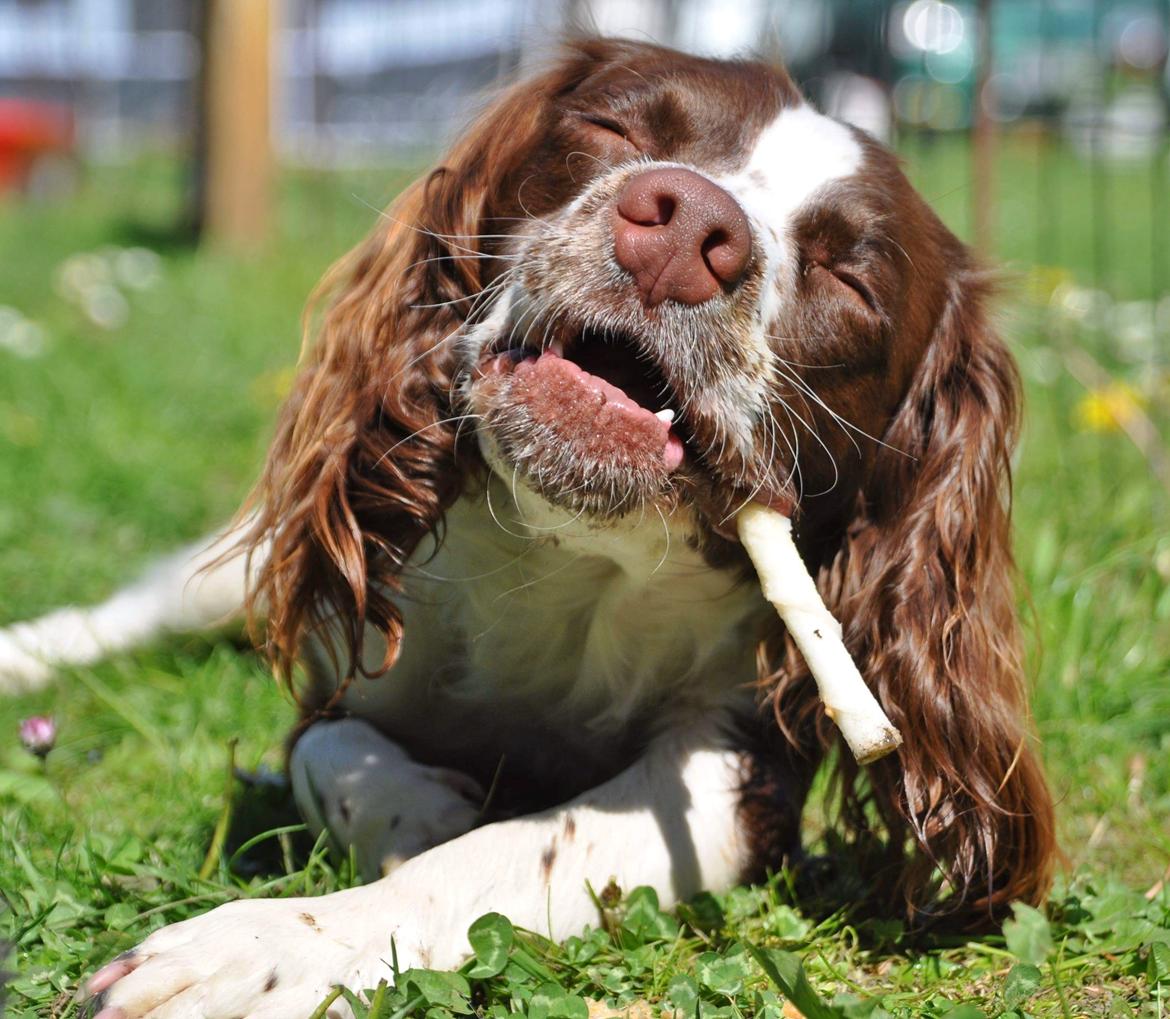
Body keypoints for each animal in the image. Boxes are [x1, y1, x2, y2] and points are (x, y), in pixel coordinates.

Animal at [2, 39, 1062, 1019]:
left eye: (849, 278)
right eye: (615, 130)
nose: (690, 224)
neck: (568, 557)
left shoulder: (742, 769)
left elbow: (516, 848)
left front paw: (262, 948)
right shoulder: (348, 650)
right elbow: (323, 753)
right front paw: (420, 810)